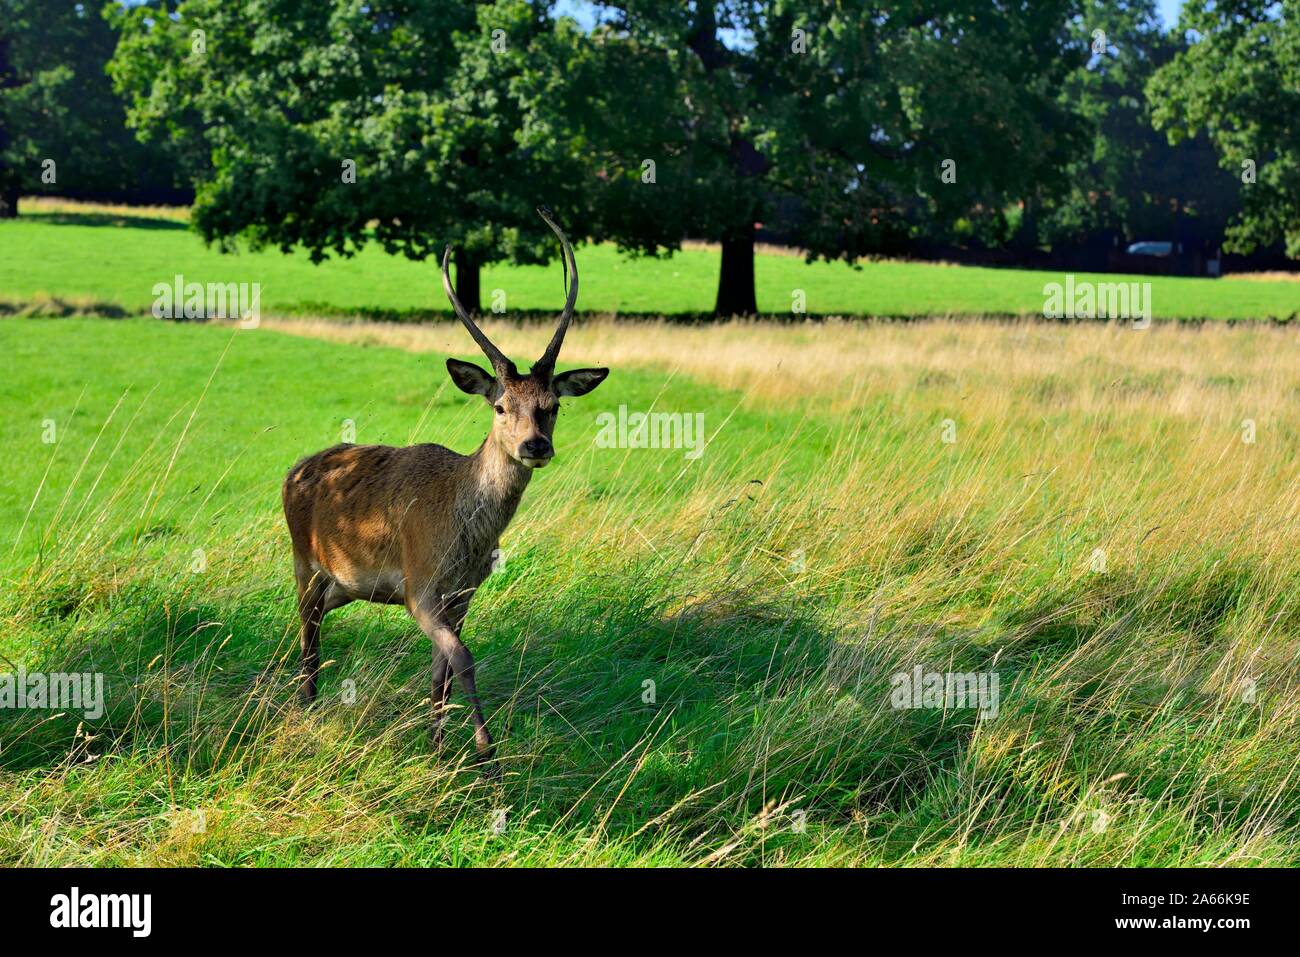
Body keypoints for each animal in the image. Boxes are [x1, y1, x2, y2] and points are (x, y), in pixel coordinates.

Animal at [281, 208, 608, 776]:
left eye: (553, 405)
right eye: (500, 406)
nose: (535, 444)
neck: (465, 538)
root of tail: (293, 472)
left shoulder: (463, 593)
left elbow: (441, 671)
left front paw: (435, 749)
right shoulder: (419, 585)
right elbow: (464, 658)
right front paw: (485, 752)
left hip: (344, 584)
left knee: (317, 624)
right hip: (305, 560)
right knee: (308, 634)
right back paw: (308, 705)